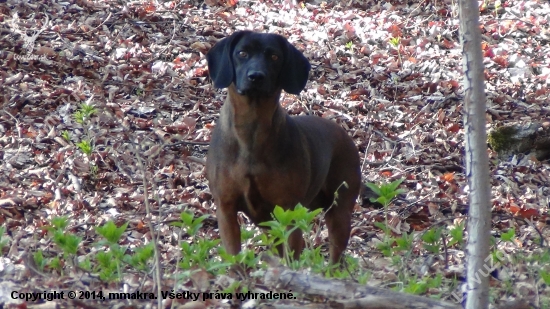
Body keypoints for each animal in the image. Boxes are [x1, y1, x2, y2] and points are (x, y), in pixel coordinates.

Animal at [207, 30, 362, 262]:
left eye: (274, 57)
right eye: (242, 53)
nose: (256, 76)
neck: (251, 132)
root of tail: (345, 133)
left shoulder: (288, 210)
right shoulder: (226, 209)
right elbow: (234, 259)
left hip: (339, 211)